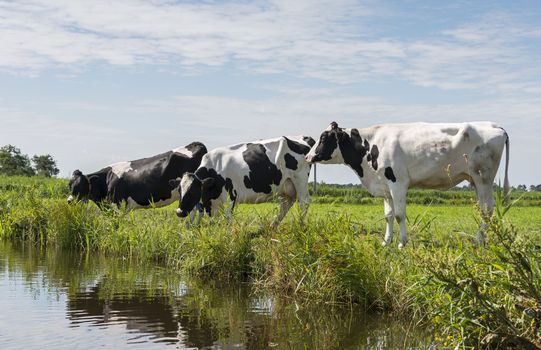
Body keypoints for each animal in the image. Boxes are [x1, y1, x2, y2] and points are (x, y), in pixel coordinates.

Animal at [67, 142, 207, 211]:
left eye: (81, 186)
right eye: (69, 185)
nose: (69, 201)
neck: (107, 179)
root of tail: (196, 144)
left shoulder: (117, 205)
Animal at [171, 135, 314, 226]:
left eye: (193, 191)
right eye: (179, 190)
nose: (179, 212)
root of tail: (304, 137)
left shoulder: (231, 197)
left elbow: (227, 220)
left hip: (300, 178)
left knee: (304, 202)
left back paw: (300, 225)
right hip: (285, 185)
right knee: (286, 204)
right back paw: (272, 226)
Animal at [306, 121, 508, 247]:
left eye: (323, 138)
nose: (307, 156)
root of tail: (494, 126)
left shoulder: (398, 183)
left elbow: (399, 215)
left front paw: (402, 243)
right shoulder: (385, 186)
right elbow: (388, 216)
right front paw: (386, 242)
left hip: (483, 178)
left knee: (487, 209)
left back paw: (478, 241)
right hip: (476, 180)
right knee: (484, 209)